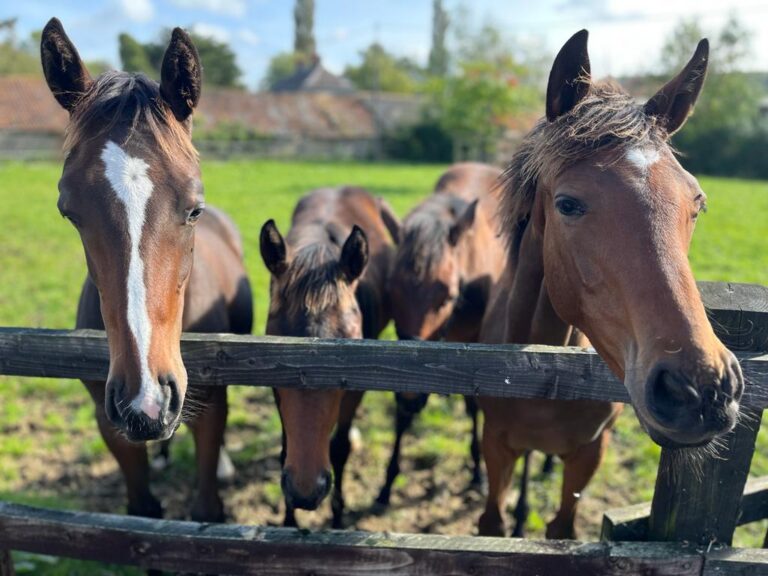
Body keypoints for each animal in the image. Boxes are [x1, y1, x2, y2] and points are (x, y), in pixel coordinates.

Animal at [41, 19, 253, 523]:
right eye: (69, 211)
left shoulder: (210, 407)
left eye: (195, 208)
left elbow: (206, 507)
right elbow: (141, 510)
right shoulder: (109, 420)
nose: (146, 397)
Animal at [260, 186, 395, 528]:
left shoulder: (356, 389)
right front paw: (289, 521)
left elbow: (340, 447)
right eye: (272, 343)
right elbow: (286, 447)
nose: (305, 490)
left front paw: (337, 517)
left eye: (348, 344)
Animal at [375, 162, 504, 507]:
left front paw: (478, 471)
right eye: (390, 290)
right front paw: (388, 481)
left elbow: (474, 405)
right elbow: (402, 415)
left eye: (447, 296)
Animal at [477, 30, 743, 539]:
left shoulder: (589, 454)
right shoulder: (496, 447)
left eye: (697, 203)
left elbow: (562, 526)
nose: (700, 390)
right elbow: (493, 523)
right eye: (567, 204)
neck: (540, 367)